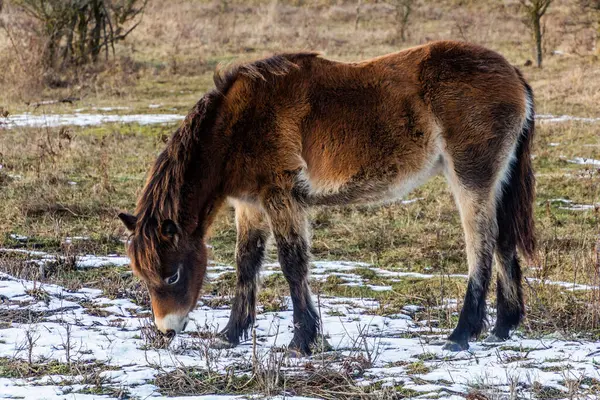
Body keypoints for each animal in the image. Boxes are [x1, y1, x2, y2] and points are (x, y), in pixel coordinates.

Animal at [117, 40, 536, 354]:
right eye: (142, 274)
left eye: (172, 274)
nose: (166, 331)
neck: (237, 125)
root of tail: (513, 73)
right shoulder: (249, 206)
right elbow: (246, 264)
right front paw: (231, 335)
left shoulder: (282, 197)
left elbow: (292, 264)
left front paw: (304, 340)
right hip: (494, 181)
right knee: (503, 240)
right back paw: (503, 326)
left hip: (471, 177)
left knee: (481, 244)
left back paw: (462, 334)